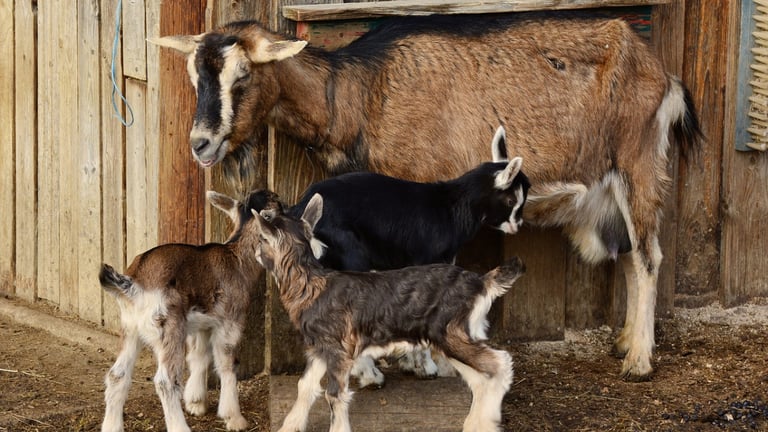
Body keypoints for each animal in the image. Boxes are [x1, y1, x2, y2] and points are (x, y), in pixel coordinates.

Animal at [153, 12, 704, 382]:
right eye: (194, 76)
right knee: (632, 255)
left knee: (649, 256)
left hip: (638, 163)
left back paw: (639, 360)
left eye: (242, 75)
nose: (200, 143)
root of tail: (662, 73)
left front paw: (420, 359)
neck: (360, 94)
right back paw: (624, 342)